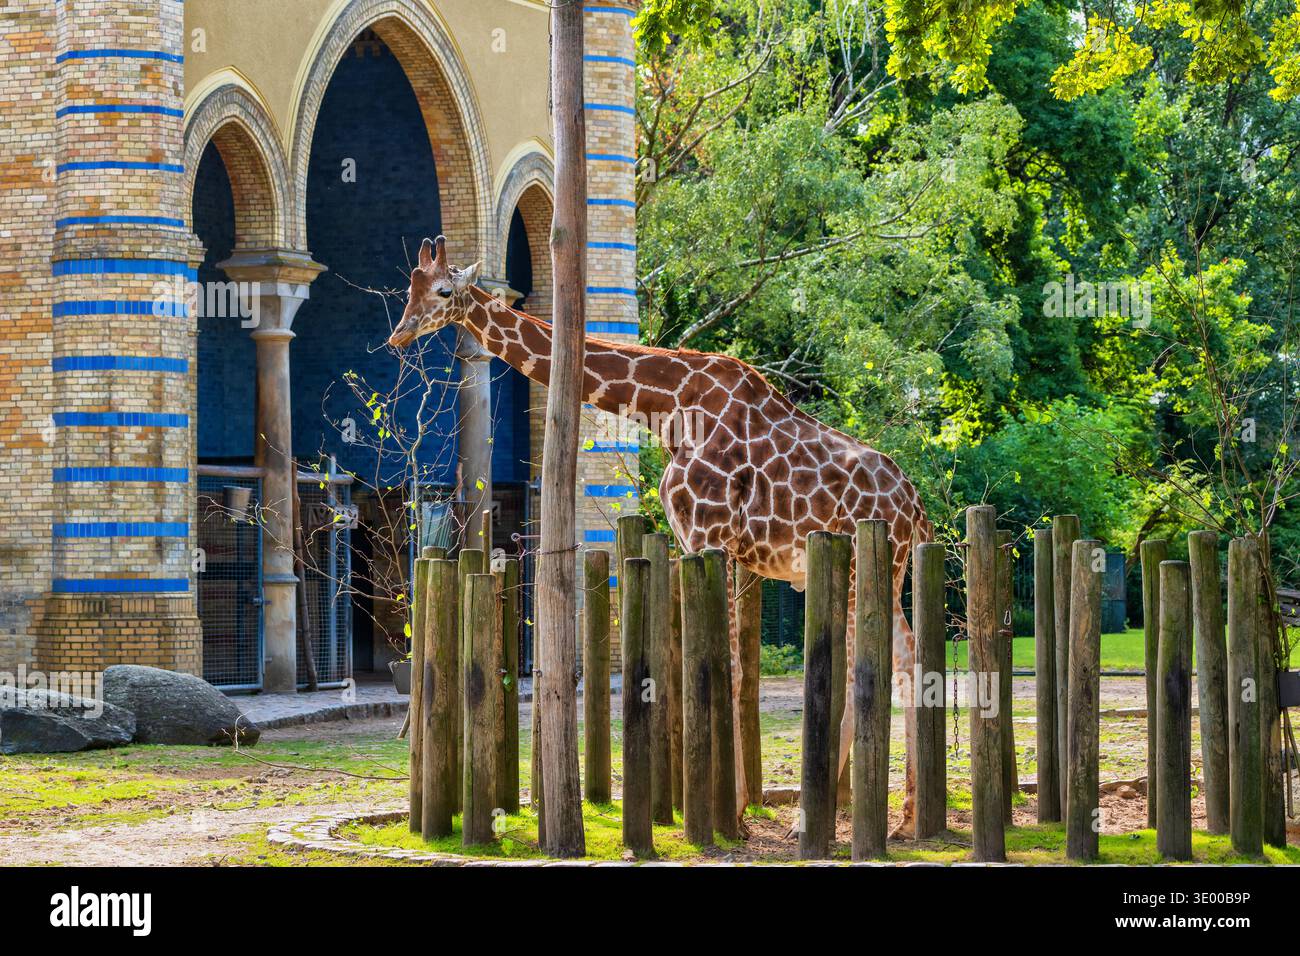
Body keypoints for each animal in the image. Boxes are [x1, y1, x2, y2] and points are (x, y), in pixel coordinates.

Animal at [389, 236, 933, 835]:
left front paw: (731, 815)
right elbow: (720, 670)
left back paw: (824, 821)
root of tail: (915, 506)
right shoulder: (710, 547)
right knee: (905, 658)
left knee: (876, 665)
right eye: (407, 287)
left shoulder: (709, 537)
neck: (668, 408)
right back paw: (905, 818)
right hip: (884, 568)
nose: (398, 335)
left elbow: (721, 669)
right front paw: (731, 806)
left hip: (863, 565)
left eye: (442, 291)